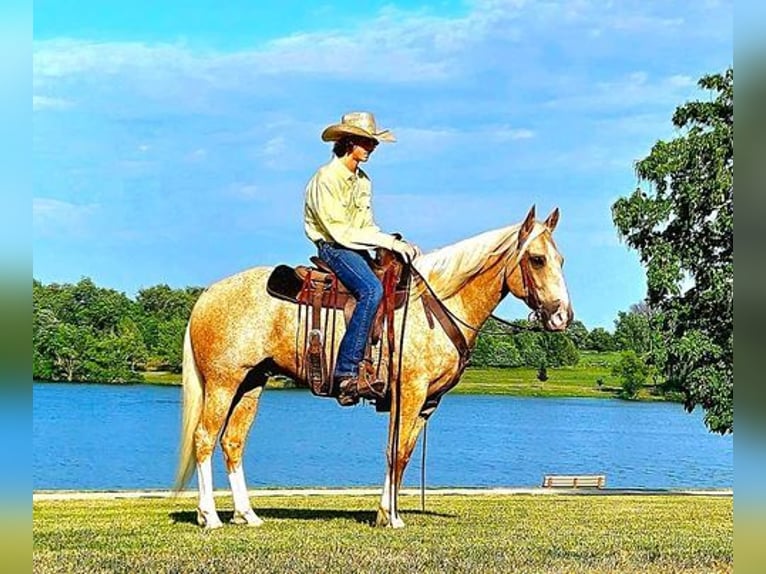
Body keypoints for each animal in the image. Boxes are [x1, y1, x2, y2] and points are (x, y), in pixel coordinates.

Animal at [174, 206, 568, 532]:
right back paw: (209, 516)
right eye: (536, 259)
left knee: (232, 441)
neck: (437, 304)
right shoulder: (409, 392)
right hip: (223, 382)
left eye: (560, 259)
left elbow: (403, 453)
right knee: (204, 438)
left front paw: (385, 513)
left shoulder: (426, 403)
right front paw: (390, 517)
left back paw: (246, 515)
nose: (562, 316)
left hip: (251, 383)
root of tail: (207, 295)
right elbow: (396, 452)